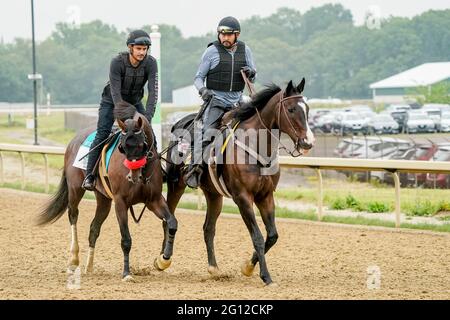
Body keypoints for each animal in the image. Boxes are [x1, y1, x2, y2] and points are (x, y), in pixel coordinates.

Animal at [37, 101, 178, 282]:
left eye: (142, 145)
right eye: (122, 147)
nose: (132, 176)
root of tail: (73, 141)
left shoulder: (154, 200)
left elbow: (172, 223)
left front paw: (163, 260)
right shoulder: (120, 202)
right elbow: (126, 240)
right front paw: (126, 274)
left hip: (104, 200)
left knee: (94, 228)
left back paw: (89, 267)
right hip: (75, 189)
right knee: (73, 215)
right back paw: (74, 259)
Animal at [163, 77, 314, 284]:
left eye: (307, 109)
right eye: (291, 109)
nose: (308, 142)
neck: (256, 148)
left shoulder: (265, 196)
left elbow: (272, 236)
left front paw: (248, 267)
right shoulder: (243, 198)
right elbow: (257, 237)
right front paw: (265, 276)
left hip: (213, 195)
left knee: (208, 228)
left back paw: (214, 268)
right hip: (176, 183)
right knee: (168, 219)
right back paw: (163, 259)